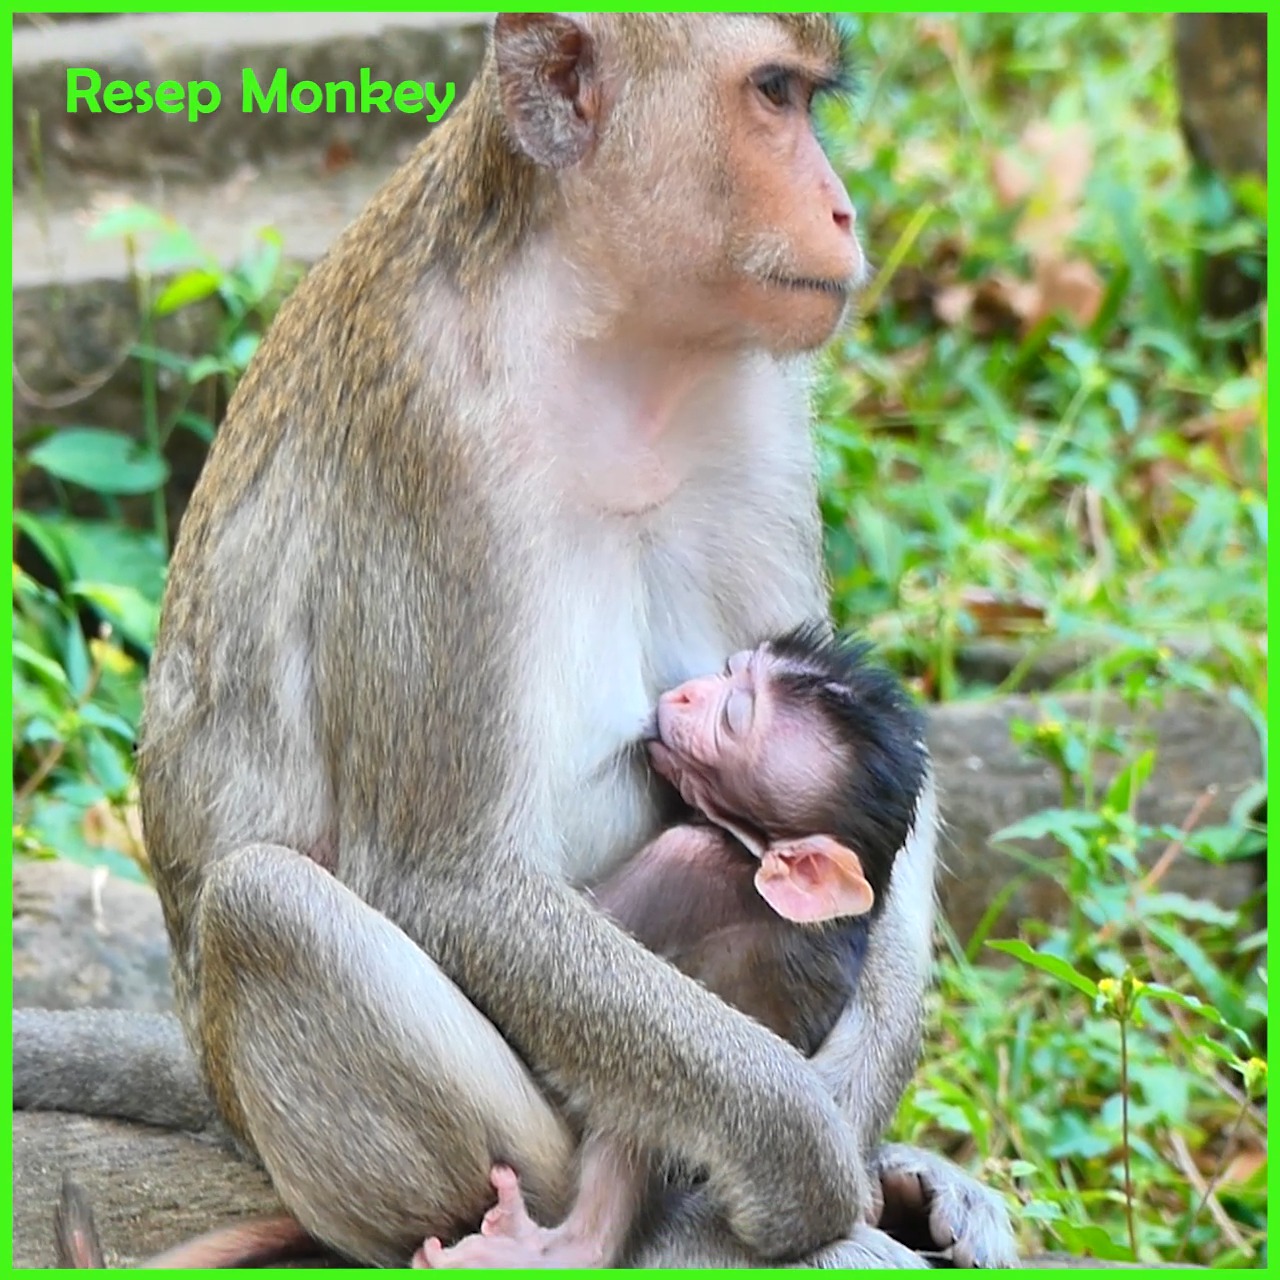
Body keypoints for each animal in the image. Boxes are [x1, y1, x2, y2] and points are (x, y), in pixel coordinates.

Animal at [15, 13, 1018, 1270]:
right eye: (773, 95)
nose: (839, 210)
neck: (599, 329)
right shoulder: (435, 443)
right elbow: (448, 879)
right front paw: (801, 1151)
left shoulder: (761, 403)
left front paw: (852, 1118)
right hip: (489, 1136)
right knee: (266, 905)